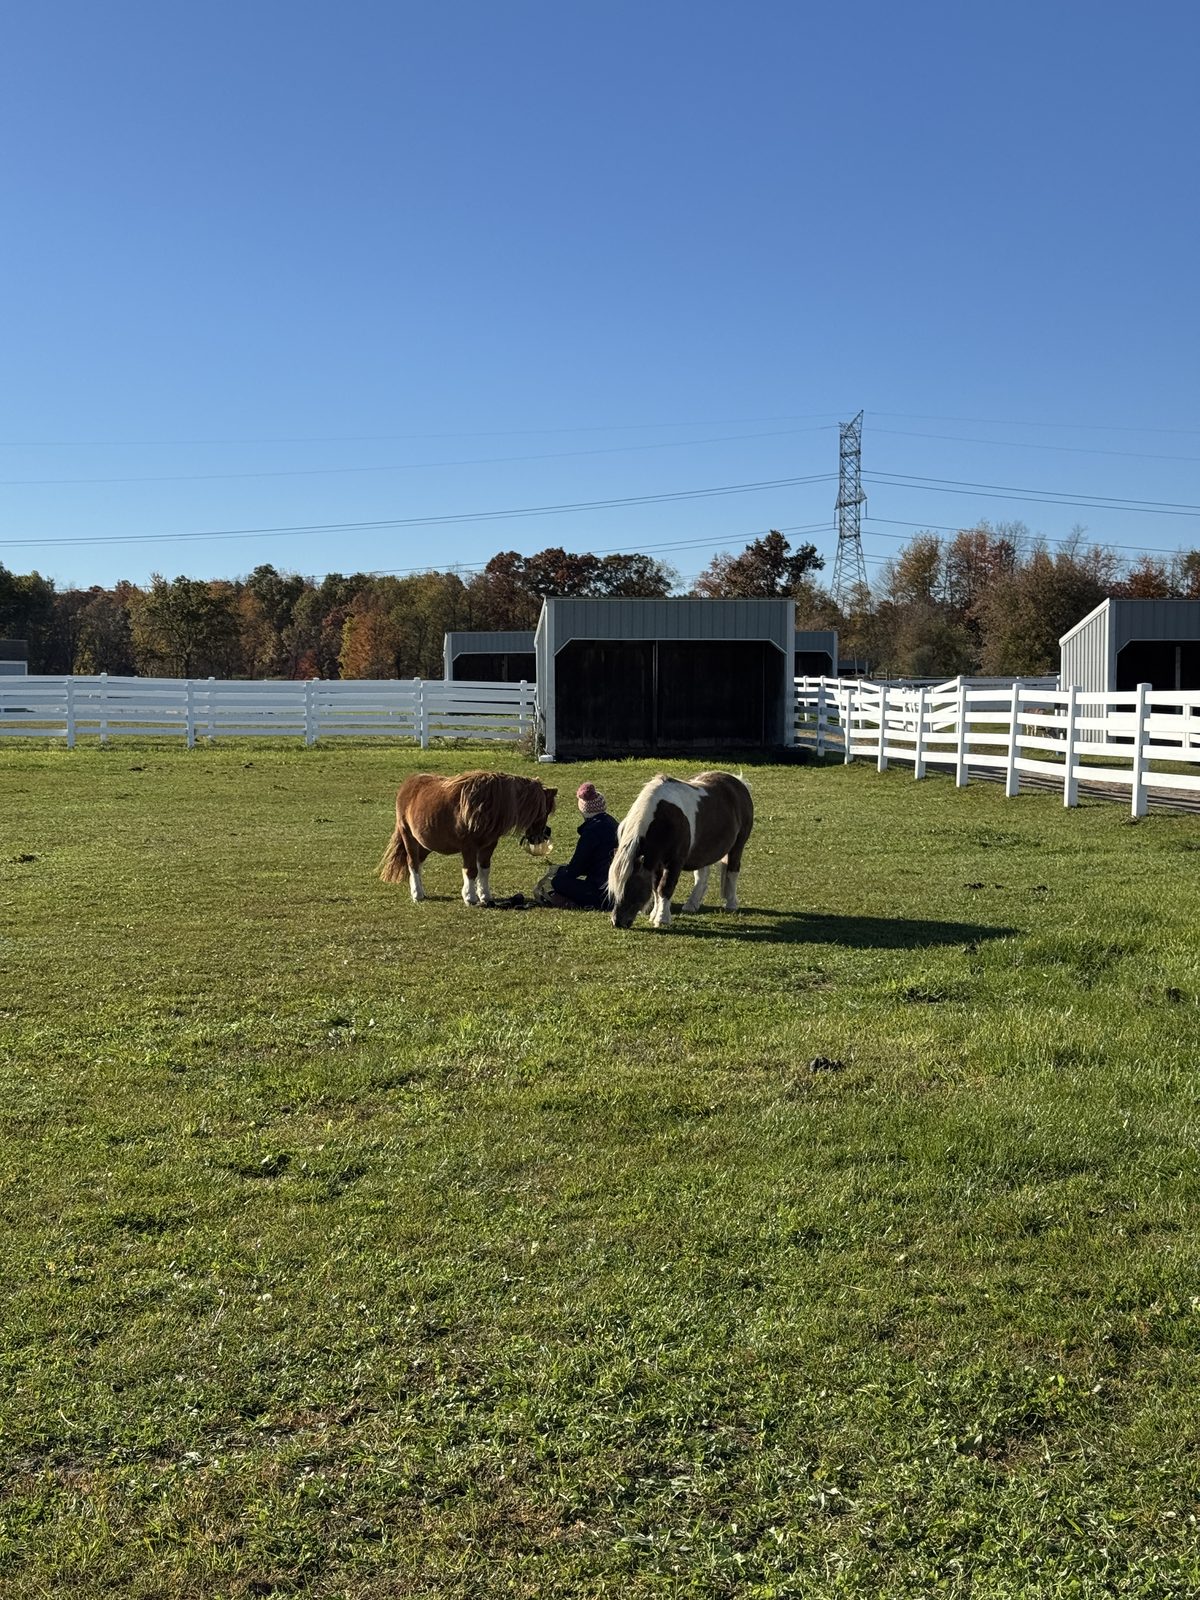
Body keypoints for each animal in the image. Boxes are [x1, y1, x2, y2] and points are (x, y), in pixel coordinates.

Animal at [378, 770, 557, 906]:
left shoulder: (488, 845)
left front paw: (485, 896)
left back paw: (420, 891)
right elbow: (471, 870)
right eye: (545, 811)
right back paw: (417, 894)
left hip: (425, 842)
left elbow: (484, 869)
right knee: (413, 863)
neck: (486, 805)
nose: (542, 836)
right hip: (408, 836)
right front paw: (470, 897)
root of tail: (408, 784)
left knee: (419, 863)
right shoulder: (469, 847)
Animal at [607, 770, 754, 930]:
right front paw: (654, 914)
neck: (664, 819)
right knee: (701, 876)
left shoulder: (674, 862)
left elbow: (665, 887)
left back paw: (731, 903)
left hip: (738, 846)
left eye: (631, 887)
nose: (617, 922)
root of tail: (738, 782)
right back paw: (691, 904)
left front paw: (662, 918)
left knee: (732, 870)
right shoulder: (656, 863)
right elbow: (655, 888)